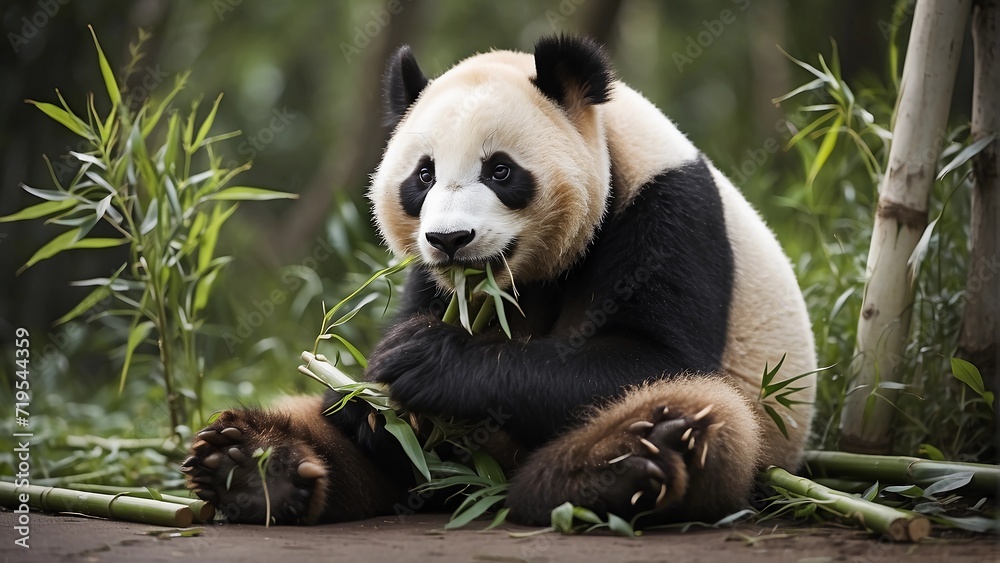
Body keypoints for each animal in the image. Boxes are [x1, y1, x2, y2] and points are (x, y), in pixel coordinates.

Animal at [184, 35, 817, 527]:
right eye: (423, 174)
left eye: (501, 170)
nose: (450, 239)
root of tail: (478, 486)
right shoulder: (431, 279)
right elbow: (365, 391)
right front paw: (381, 398)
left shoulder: (666, 208)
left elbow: (655, 356)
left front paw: (427, 361)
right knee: (330, 428)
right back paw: (254, 466)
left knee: (702, 414)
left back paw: (614, 473)